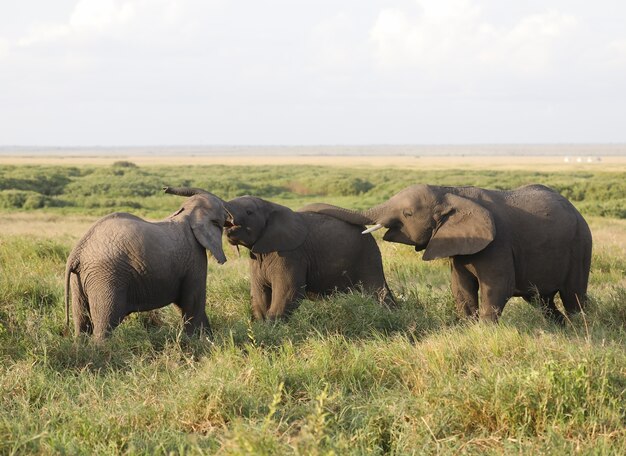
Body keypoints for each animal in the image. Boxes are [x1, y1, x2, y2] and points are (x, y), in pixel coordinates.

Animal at [64, 191, 225, 340]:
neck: (188, 212)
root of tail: (78, 251)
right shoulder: (195, 257)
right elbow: (193, 302)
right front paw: (198, 342)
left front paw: (208, 339)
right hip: (106, 277)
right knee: (105, 324)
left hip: (81, 279)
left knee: (82, 323)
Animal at [163, 186, 392, 320]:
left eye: (249, 212)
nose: (166, 188)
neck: (271, 206)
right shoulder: (257, 256)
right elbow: (259, 292)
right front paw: (260, 326)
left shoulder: (291, 254)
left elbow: (288, 292)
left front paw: (271, 328)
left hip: (367, 256)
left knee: (376, 290)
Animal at [304, 183, 592, 322]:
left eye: (407, 214)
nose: (307, 210)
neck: (451, 192)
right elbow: (461, 289)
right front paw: (468, 329)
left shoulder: (498, 243)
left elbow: (497, 288)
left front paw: (485, 334)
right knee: (542, 301)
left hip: (581, 245)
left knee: (573, 297)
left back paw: (582, 328)